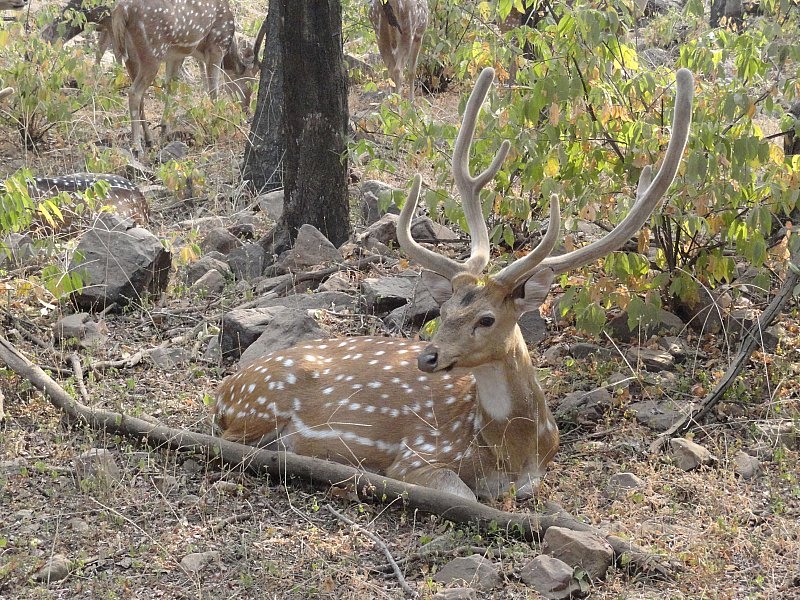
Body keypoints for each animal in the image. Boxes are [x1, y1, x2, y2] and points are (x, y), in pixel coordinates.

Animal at [109, 0, 253, 155]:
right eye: (248, 81)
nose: (246, 111)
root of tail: (122, 10)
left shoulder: (176, 55)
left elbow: (170, 88)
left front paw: (164, 130)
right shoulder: (216, 45)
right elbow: (213, 91)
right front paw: (215, 127)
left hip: (129, 55)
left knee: (139, 93)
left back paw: (149, 139)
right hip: (153, 52)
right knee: (134, 92)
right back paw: (137, 147)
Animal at [212, 67, 692, 502]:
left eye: (487, 318)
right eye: (443, 311)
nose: (428, 357)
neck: (515, 452)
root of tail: (222, 394)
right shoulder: (418, 454)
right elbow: (462, 495)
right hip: (261, 409)